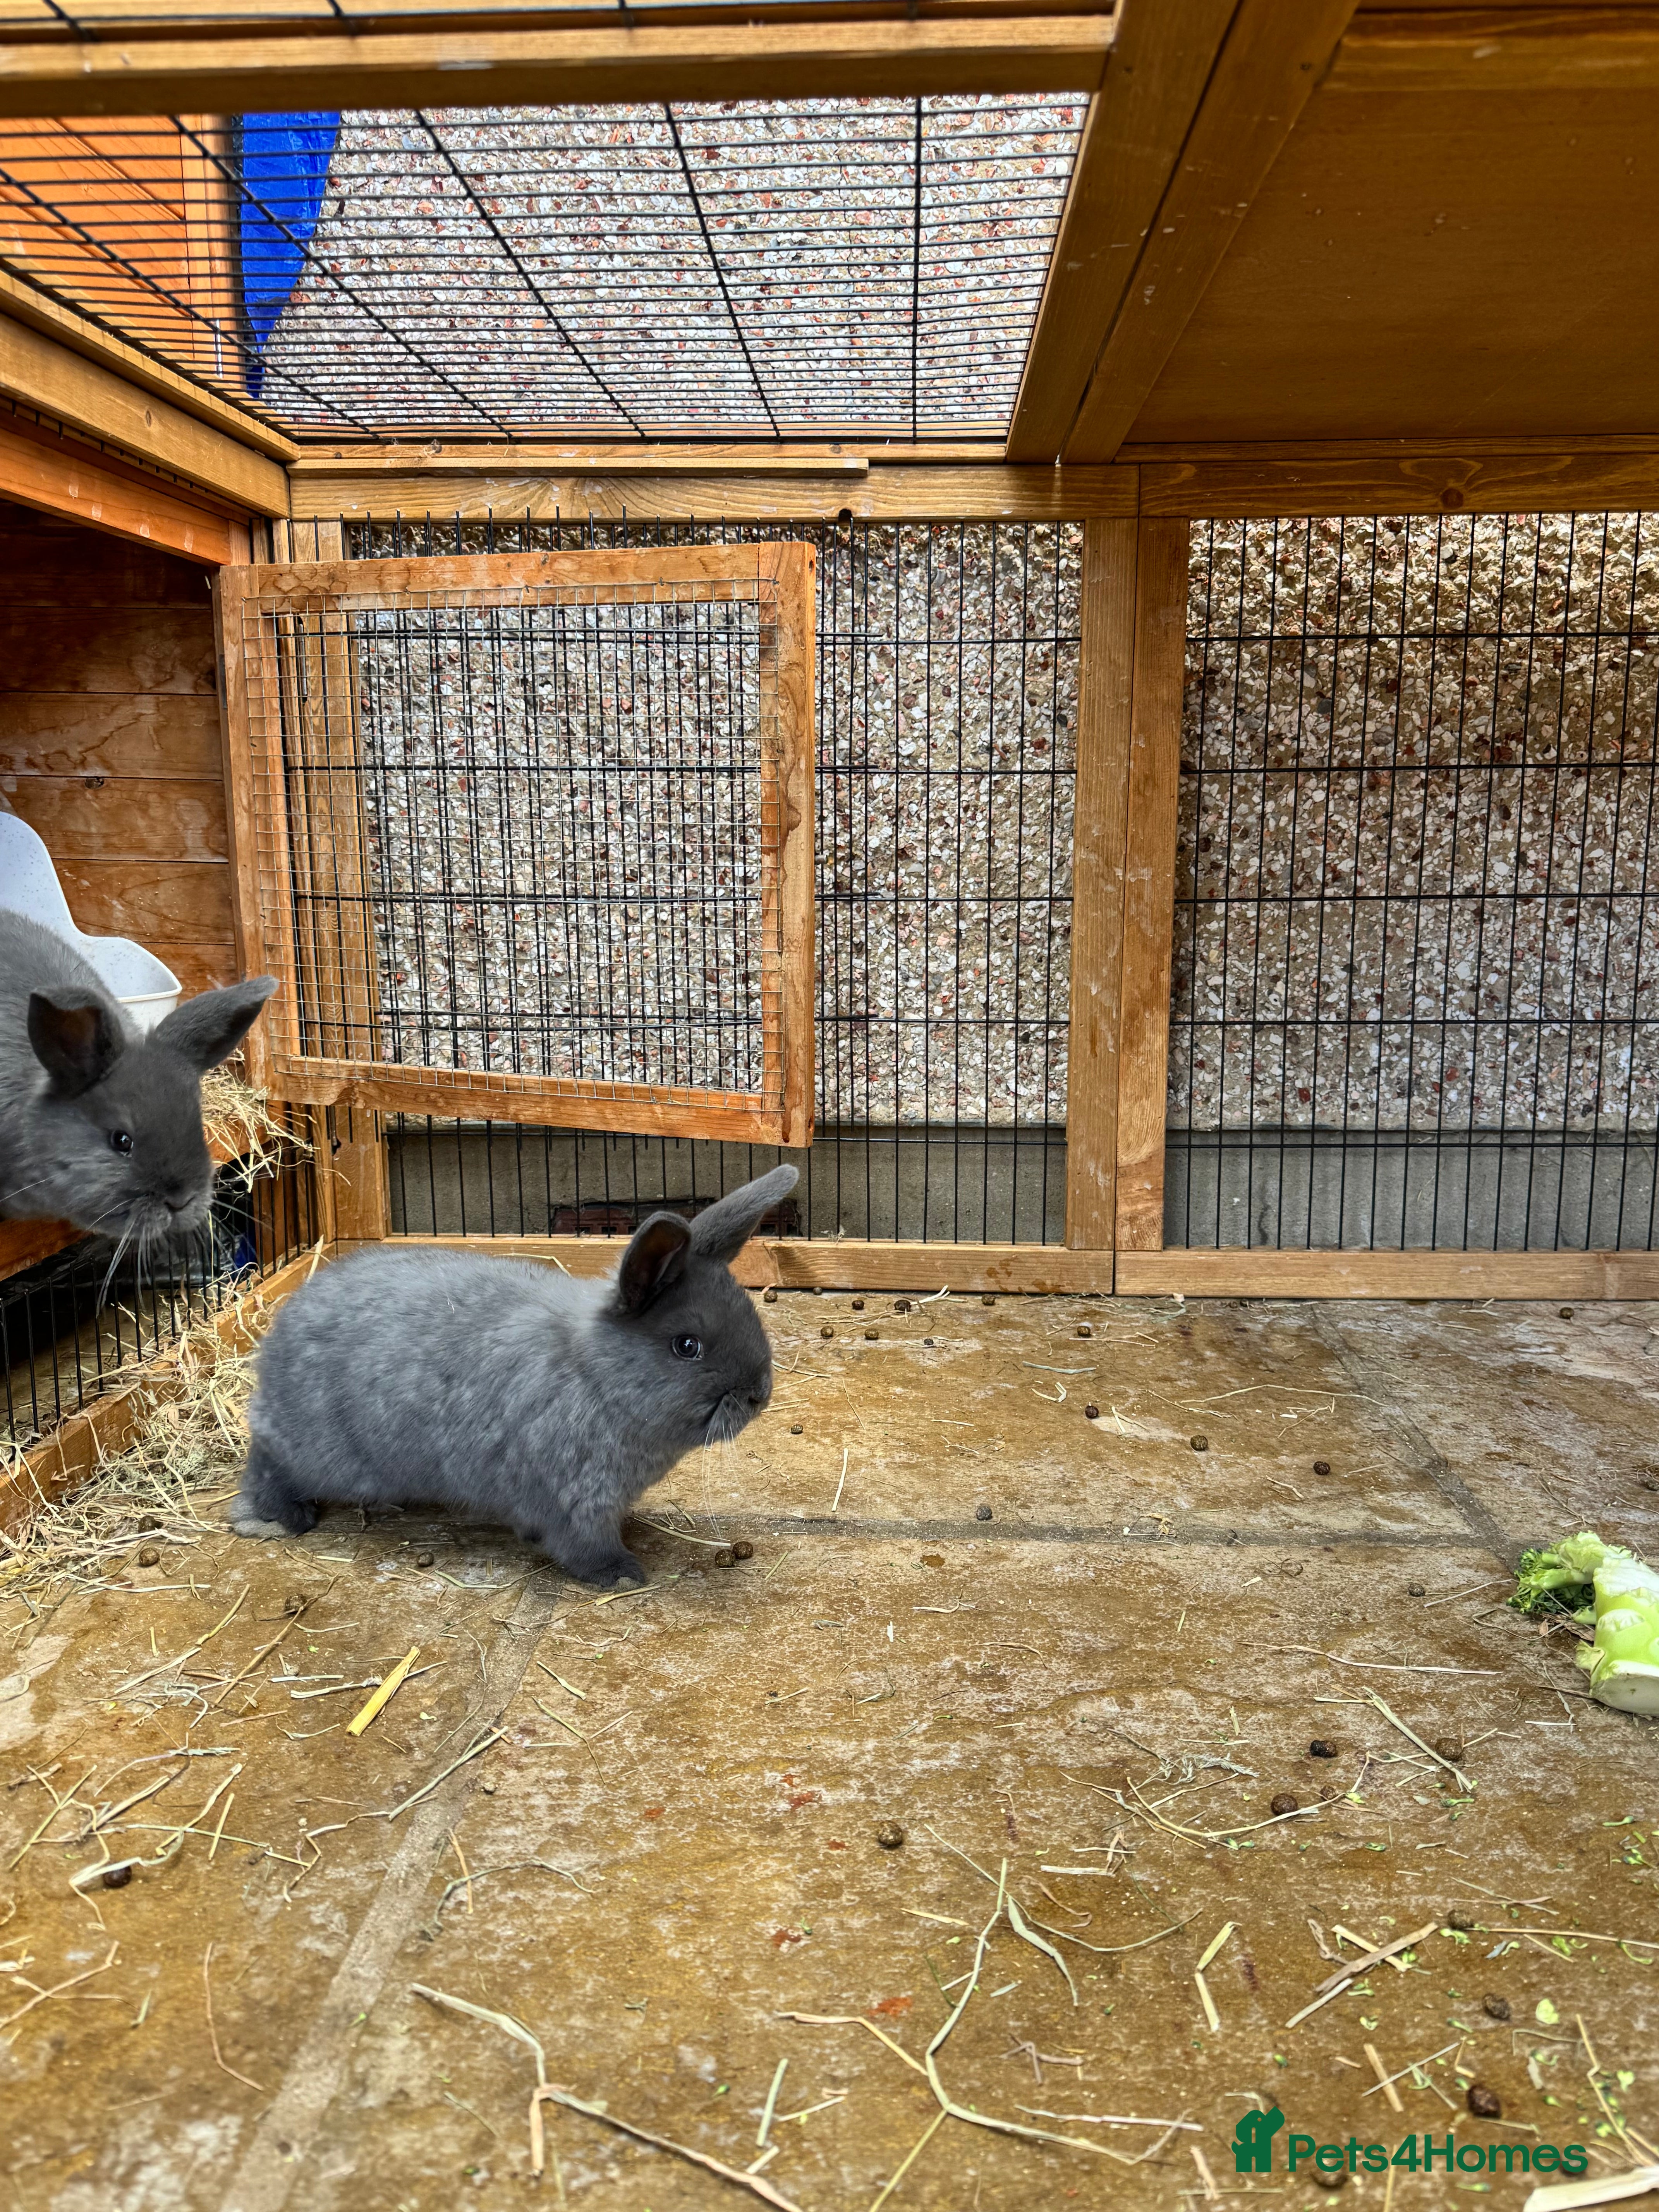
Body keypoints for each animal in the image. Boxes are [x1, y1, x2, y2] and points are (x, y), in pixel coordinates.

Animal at [233, 1163, 798, 1588]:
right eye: (687, 1346)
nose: (759, 1395)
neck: (595, 1374)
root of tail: (279, 1340)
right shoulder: (577, 1502)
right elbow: (584, 1546)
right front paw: (622, 1575)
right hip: (320, 1452)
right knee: (267, 1465)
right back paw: (275, 1520)